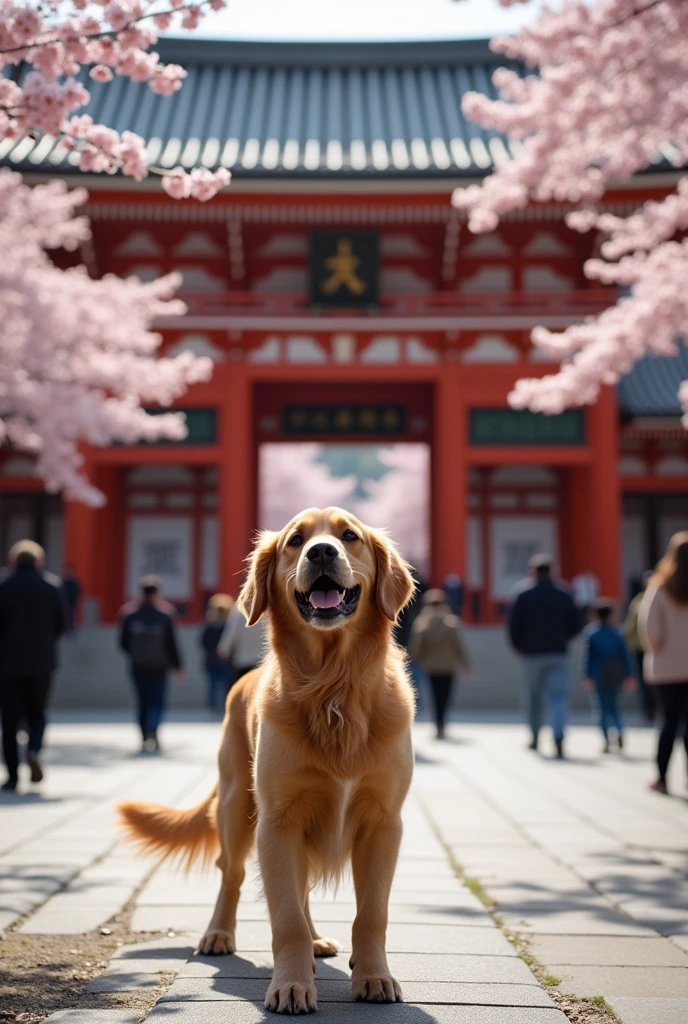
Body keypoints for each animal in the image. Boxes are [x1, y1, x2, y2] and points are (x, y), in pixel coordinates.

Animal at [118, 507, 413, 1011]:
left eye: (349, 536)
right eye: (295, 540)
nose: (321, 552)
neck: (333, 690)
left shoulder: (383, 823)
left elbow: (371, 913)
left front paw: (374, 976)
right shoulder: (277, 821)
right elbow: (285, 916)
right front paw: (291, 984)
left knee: (301, 887)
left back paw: (318, 941)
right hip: (237, 807)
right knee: (232, 875)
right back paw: (219, 934)